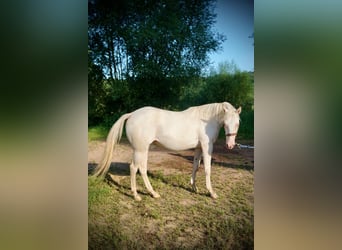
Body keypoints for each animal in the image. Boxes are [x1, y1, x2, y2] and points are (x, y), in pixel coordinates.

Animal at [94, 100, 240, 200]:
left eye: (238, 123)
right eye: (226, 123)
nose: (230, 145)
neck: (206, 121)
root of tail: (132, 114)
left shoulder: (198, 148)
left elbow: (195, 167)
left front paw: (194, 188)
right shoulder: (206, 146)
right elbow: (207, 169)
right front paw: (212, 193)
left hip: (142, 150)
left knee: (142, 168)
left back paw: (153, 193)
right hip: (140, 149)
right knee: (134, 168)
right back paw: (137, 195)